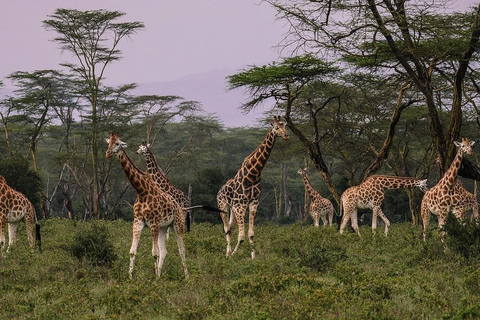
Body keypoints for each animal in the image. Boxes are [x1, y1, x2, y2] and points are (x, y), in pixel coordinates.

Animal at [106, 132, 188, 278]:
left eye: (118, 143)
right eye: (108, 143)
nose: (108, 153)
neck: (141, 192)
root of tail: (179, 205)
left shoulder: (153, 223)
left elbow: (154, 253)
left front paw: (154, 279)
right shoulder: (138, 221)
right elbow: (132, 251)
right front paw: (131, 277)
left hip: (178, 223)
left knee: (181, 249)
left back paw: (187, 277)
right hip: (164, 227)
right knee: (164, 251)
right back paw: (160, 275)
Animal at [217, 115, 288, 258]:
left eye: (285, 125)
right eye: (276, 127)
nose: (286, 135)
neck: (253, 174)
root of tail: (219, 191)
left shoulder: (253, 202)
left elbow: (251, 234)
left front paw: (253, 258)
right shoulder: (240, 205)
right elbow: (241, 236)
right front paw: (232, 256)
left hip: (232, 208)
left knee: (230, 228)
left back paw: (228, 252)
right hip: (223, 206)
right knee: (226, 228)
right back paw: (227, 254)